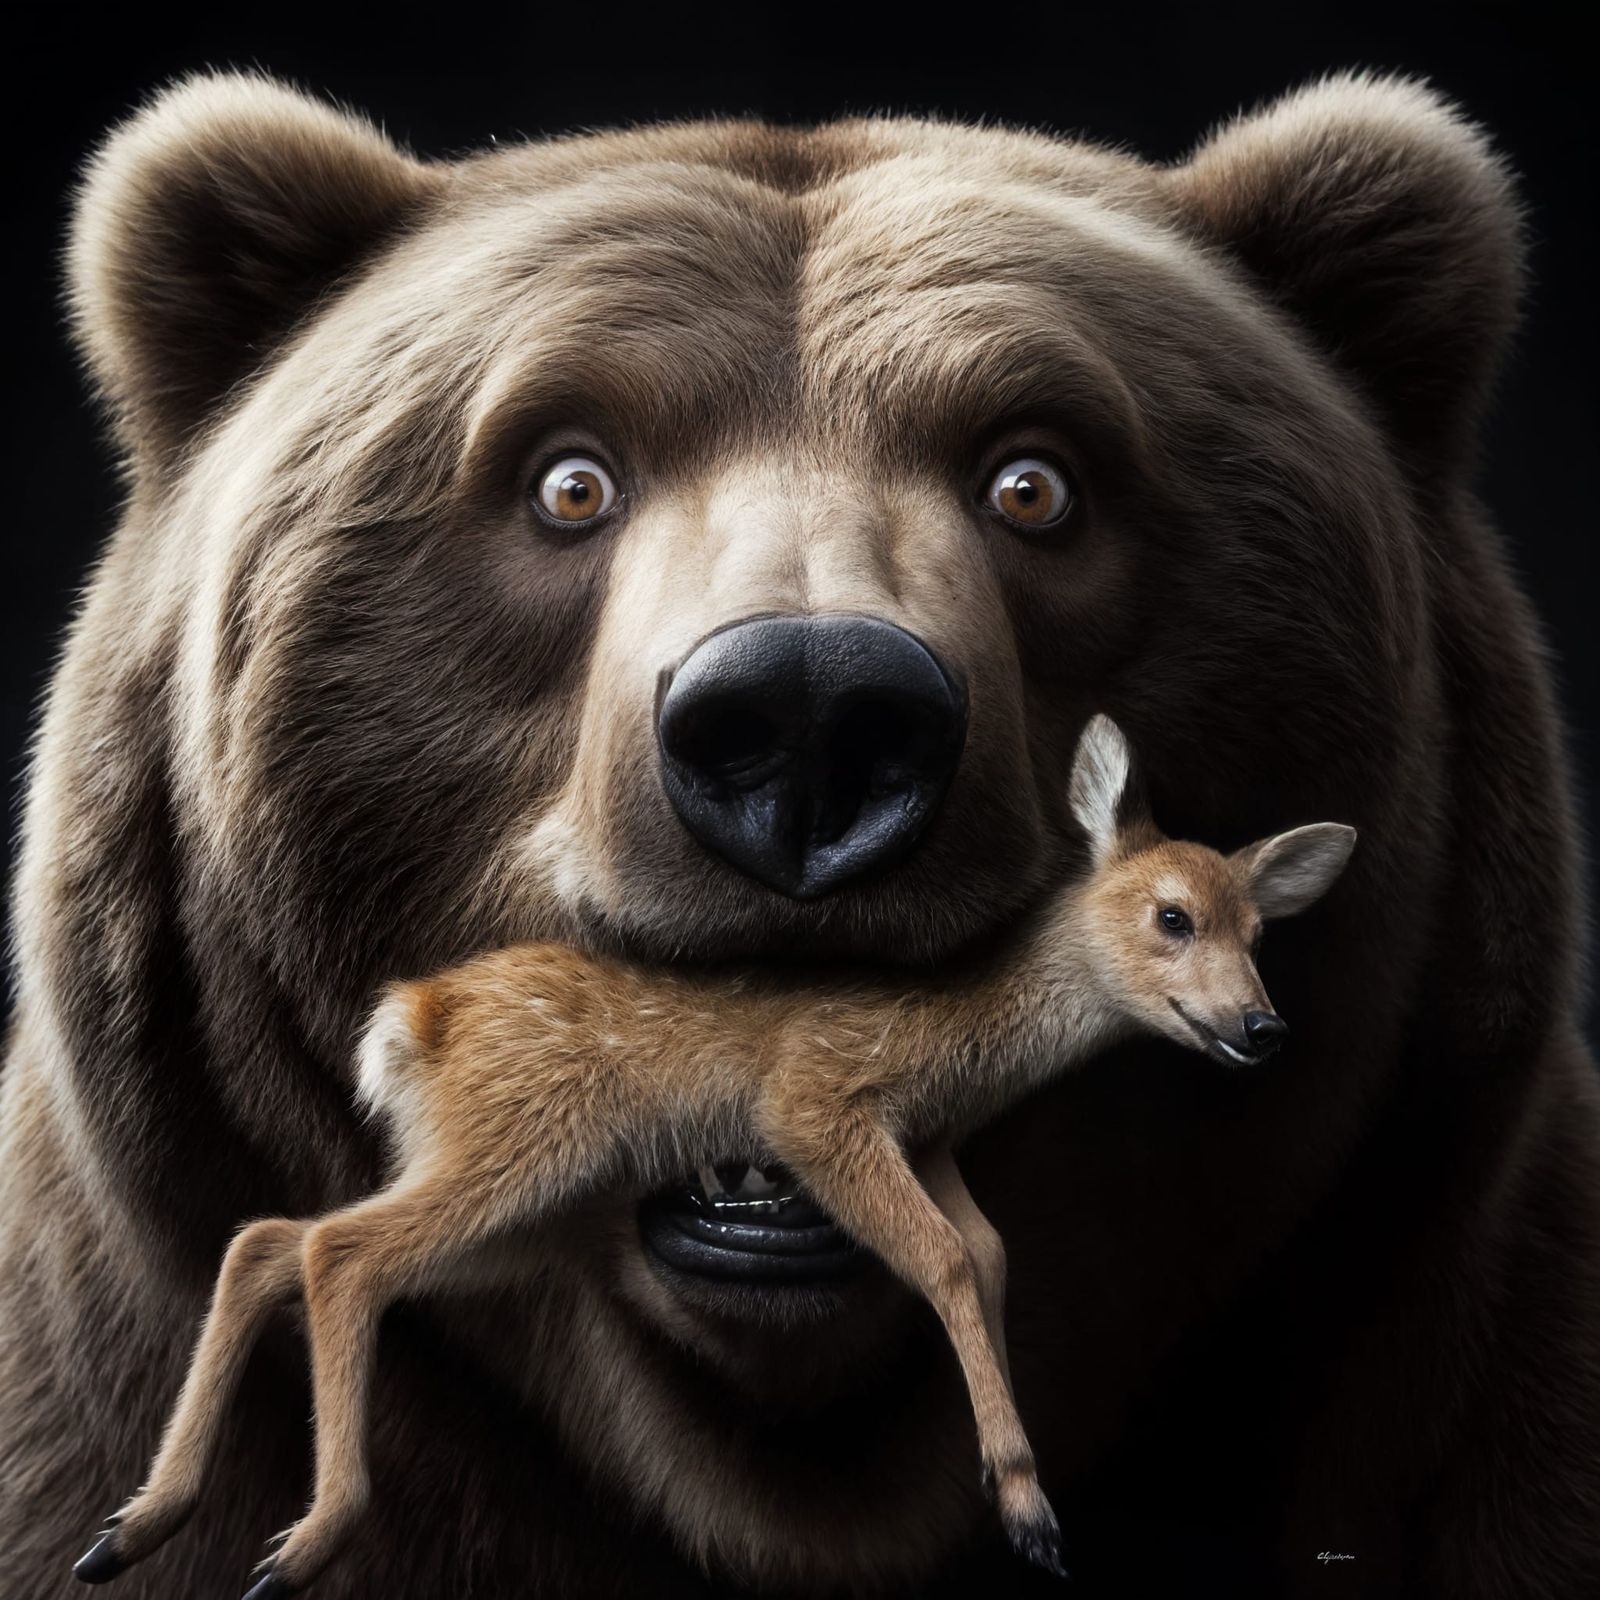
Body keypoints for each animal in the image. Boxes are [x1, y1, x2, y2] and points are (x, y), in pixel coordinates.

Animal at [73, 716, 1355, 1597]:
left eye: (1258, 928)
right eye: (1172, 916)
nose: (1262, 1028)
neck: (955, 1040)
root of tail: (413, 1021)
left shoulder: (931, 1143)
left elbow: (987, 1252)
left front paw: (1015, 1490)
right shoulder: (817, 1107)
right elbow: (940, 1258)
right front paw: (1028, 1509)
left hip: (521, 1213)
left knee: (273, 1239)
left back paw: (135, 1523)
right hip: (513, 1148)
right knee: (339, 1251)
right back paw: (303, 1539)